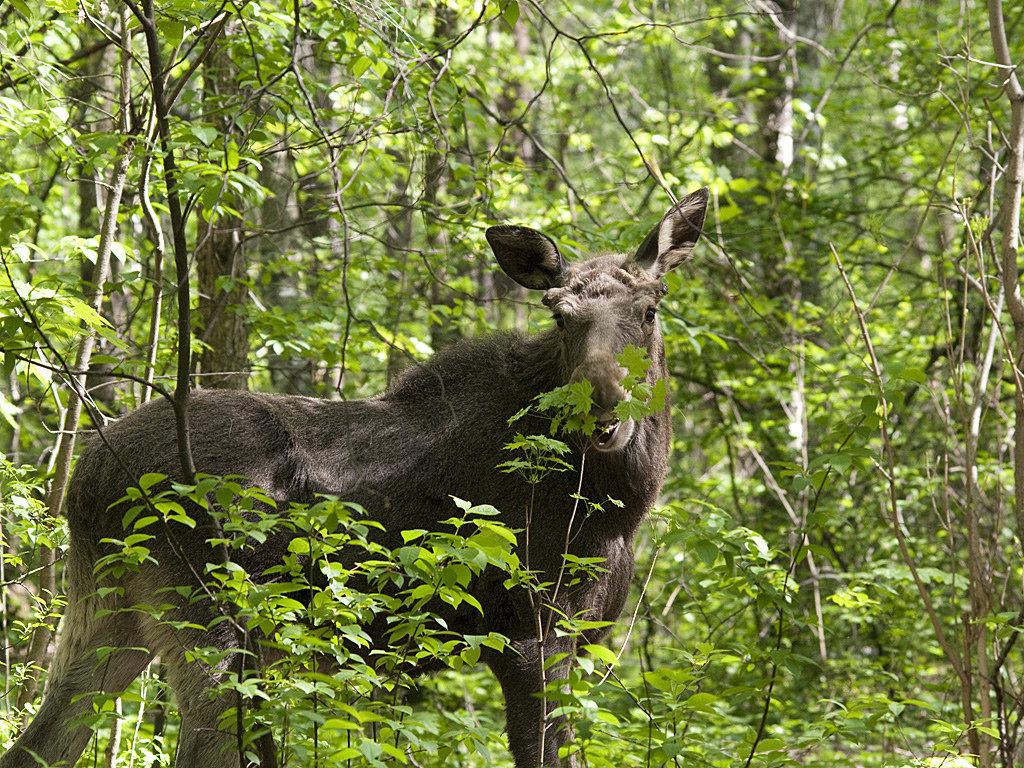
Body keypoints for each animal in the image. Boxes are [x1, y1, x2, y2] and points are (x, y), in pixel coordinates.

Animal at [0, 188, 708, 768]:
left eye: (650, 309)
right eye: (559, 314)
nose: (603, 408)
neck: (619, 508)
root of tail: (86, 479)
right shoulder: (529, 632)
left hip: (114, 611)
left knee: (42, 744)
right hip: (208, 619)